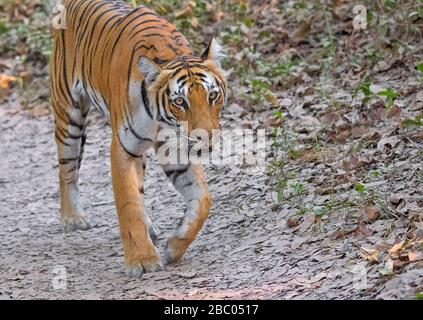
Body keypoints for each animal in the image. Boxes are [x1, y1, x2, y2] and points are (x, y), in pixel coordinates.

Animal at [49, 0, 227, 276]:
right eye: (180, 102)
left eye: (212, 96)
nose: (205, 137)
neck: (161, 120)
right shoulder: (123, 149)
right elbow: (128, 203)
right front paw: (141, 259)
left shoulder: (175, 149)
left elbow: (202, 201)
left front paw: (173, 247)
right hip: (69, 114)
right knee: (66, 169)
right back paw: (73, 218)